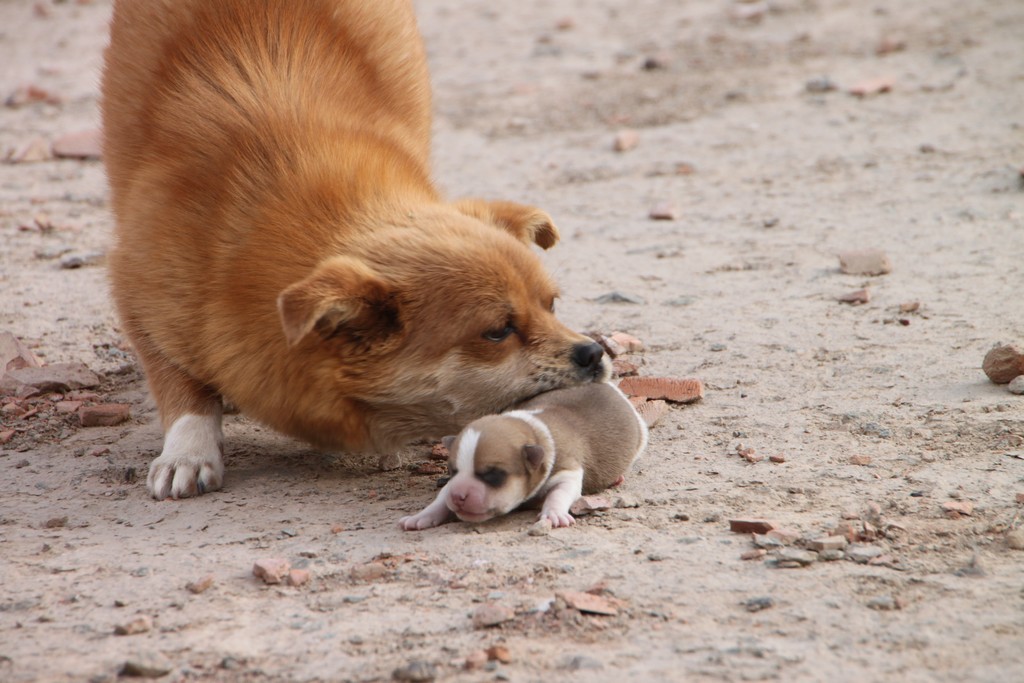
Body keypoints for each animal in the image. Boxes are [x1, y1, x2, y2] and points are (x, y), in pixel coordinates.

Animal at [401, 382, 647, 532]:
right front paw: (421, 516)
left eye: (493, 475)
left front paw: (553, 513)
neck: (534, 430)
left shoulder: (568, 471)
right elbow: (441, 496)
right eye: (452, 471)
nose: (459, 496)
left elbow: (559, 493)